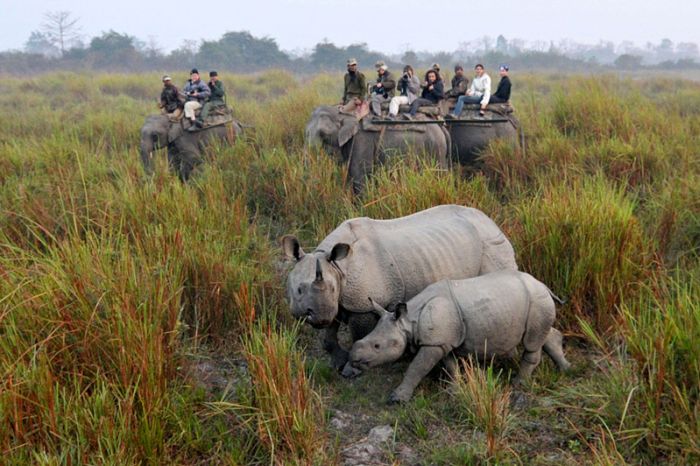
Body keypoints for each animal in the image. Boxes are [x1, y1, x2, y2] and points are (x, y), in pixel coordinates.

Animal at [304, 105, 448, 193]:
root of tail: (441, 126)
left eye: (323, 134)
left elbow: (359, 174)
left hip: (435, 149)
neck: (344, 112)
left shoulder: (362, 140)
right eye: (305, 133)